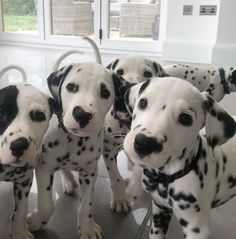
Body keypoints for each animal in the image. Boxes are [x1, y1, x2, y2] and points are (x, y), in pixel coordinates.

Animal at [0, 66, 53, 239]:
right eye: (1, 114)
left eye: (38, 115)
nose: (18, 146)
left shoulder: (24, 181)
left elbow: (20, 212)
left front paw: (19, 232)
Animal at [122, 77, 236, 239]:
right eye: (143, 103)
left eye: (185, 118)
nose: (144, 143)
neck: (166, 178)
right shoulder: (160, 212)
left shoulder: (196, 229)